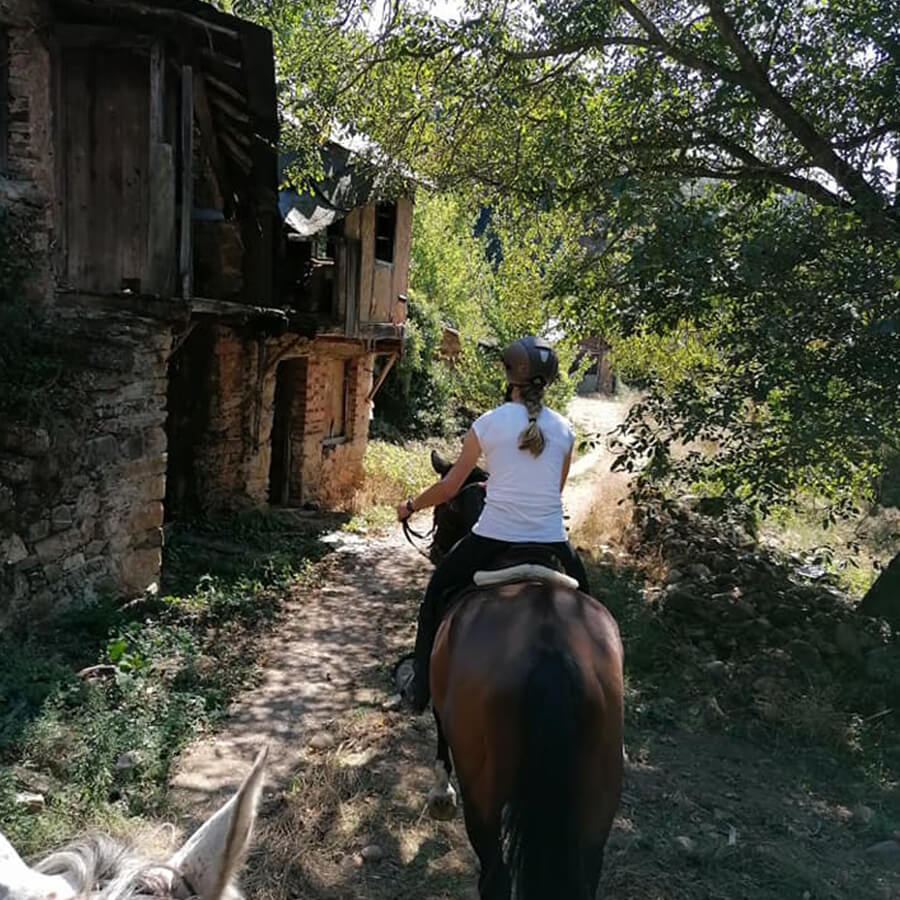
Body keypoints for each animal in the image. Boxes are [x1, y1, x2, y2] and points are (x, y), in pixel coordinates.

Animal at [421, 451, 624, 900]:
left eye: (442, 509)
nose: (435, 550)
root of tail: (550, 648)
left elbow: (439, 732)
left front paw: (440, 794)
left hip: (483, 792)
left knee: (494, 876)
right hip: (599, 797)